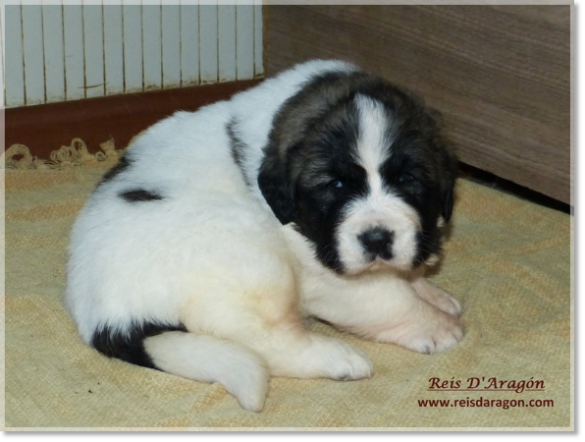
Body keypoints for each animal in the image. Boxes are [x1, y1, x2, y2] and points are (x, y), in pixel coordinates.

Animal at [66, 58, 464, 410]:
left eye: (407, 180)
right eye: (334, 186)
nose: (377, 238)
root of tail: (104, 320)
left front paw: (431, 293)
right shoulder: (324, 271)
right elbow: (388, 298)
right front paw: (437, 326)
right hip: (249, 253)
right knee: (270, 342)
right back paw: (339, 359)